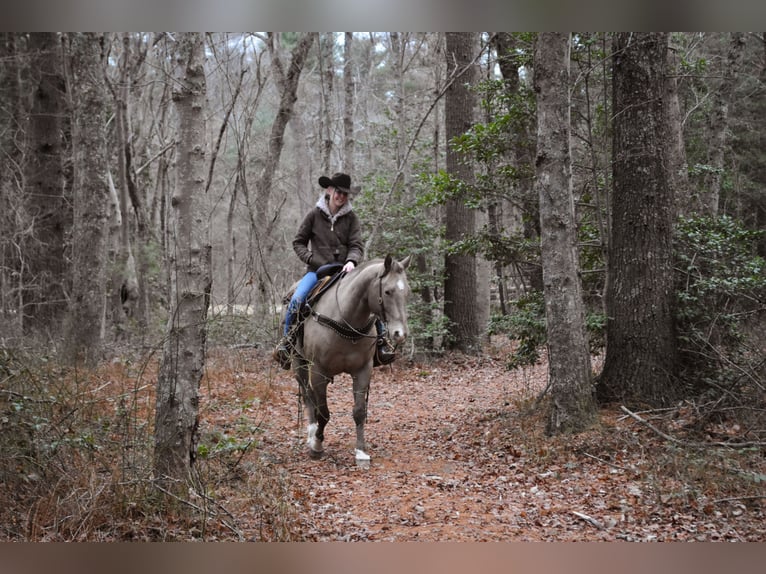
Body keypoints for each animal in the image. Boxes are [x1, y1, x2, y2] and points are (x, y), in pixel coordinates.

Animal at [285, 254, 411, 462]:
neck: (345, 318)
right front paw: (317, 446)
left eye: (407, 292)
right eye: (387, 291)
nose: (400, 334)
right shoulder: (318, 371)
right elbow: (323, 413)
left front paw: (360, 451)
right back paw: (311, 434)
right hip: (299, 364)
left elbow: (359, 411)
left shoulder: (363, 370)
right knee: (308, 396)